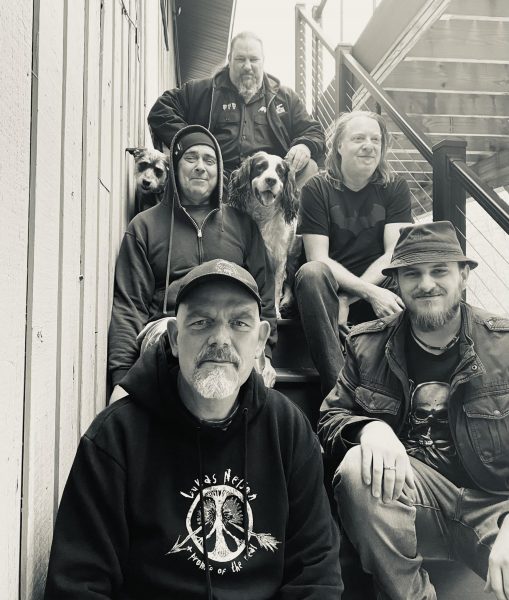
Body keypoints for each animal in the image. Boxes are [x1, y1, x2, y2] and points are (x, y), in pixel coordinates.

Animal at [227, 152, 302, 316]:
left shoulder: (280, 258)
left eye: (280, 171)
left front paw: (275, 311)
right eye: (260, 167)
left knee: (289, 281)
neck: (264, 216)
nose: (271, 180)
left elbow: (276, 287)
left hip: (292, 256)